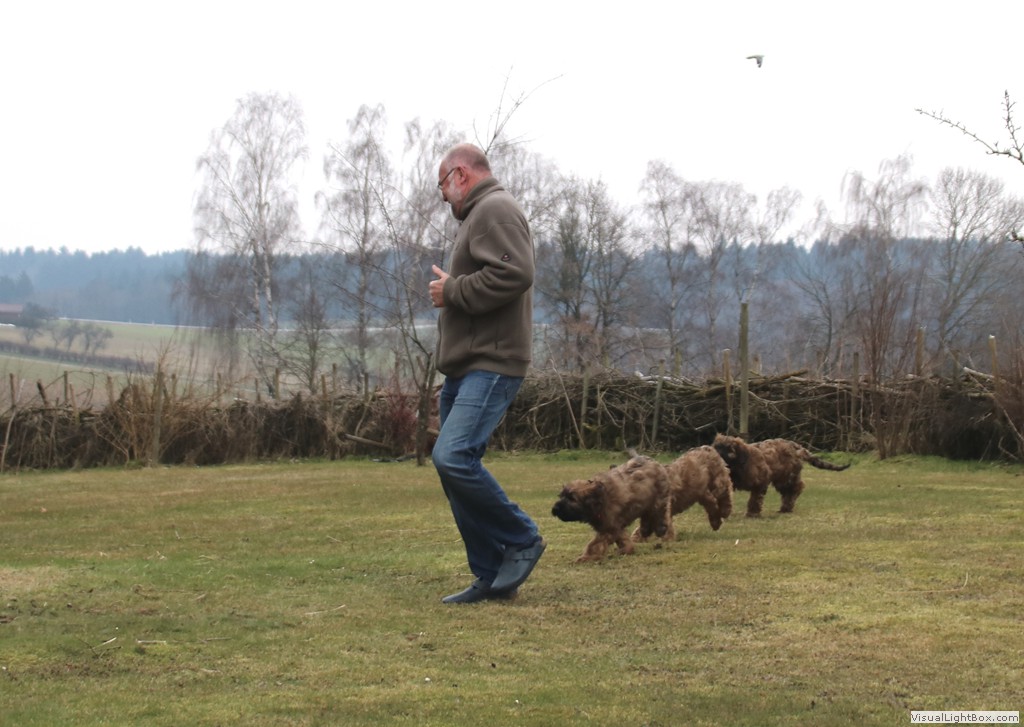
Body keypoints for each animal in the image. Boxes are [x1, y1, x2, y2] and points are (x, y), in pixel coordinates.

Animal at [713, 434, 850, 515]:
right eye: (716, 448)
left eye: (727, 449)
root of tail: (796, 446)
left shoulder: (762, 481)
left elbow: (755, 498)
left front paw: (753, 513)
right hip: (783, 479)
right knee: (789, 492)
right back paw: (785, 507)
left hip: (786, 477)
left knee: (796, 488)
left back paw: (786, 508)